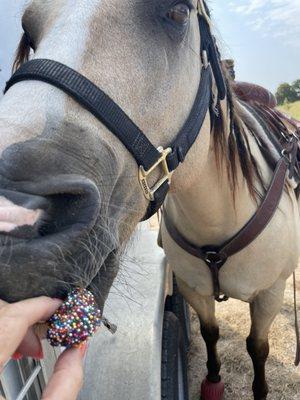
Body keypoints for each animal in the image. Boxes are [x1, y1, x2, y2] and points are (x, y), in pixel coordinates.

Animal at [0, 0, 298, 400]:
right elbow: (210, 332)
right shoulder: (193, 289)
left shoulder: (269, 295)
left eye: (178, 12)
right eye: (29, 32)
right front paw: (212, 381)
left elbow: (257, 348)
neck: (218, 220)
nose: (12, 217)